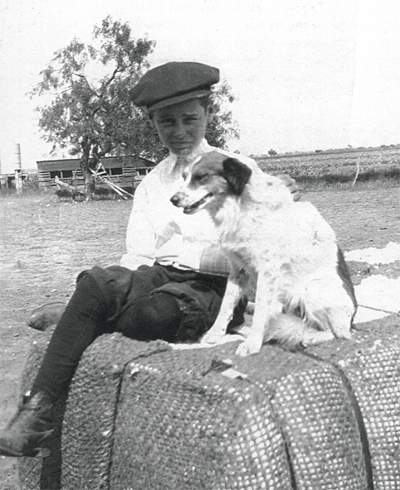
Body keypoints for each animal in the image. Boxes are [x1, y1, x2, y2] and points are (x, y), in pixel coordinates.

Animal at [170, 153, 358, 356]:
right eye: (184, 176)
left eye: (201, 176)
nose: (173, 200)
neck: (240, 206)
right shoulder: (237, 269)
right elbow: (226, 306)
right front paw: (215, 334)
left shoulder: (267, 272)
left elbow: (260, 312)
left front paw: (252, 344)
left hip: (313, 290)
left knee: (339, 333)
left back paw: (311, 337)